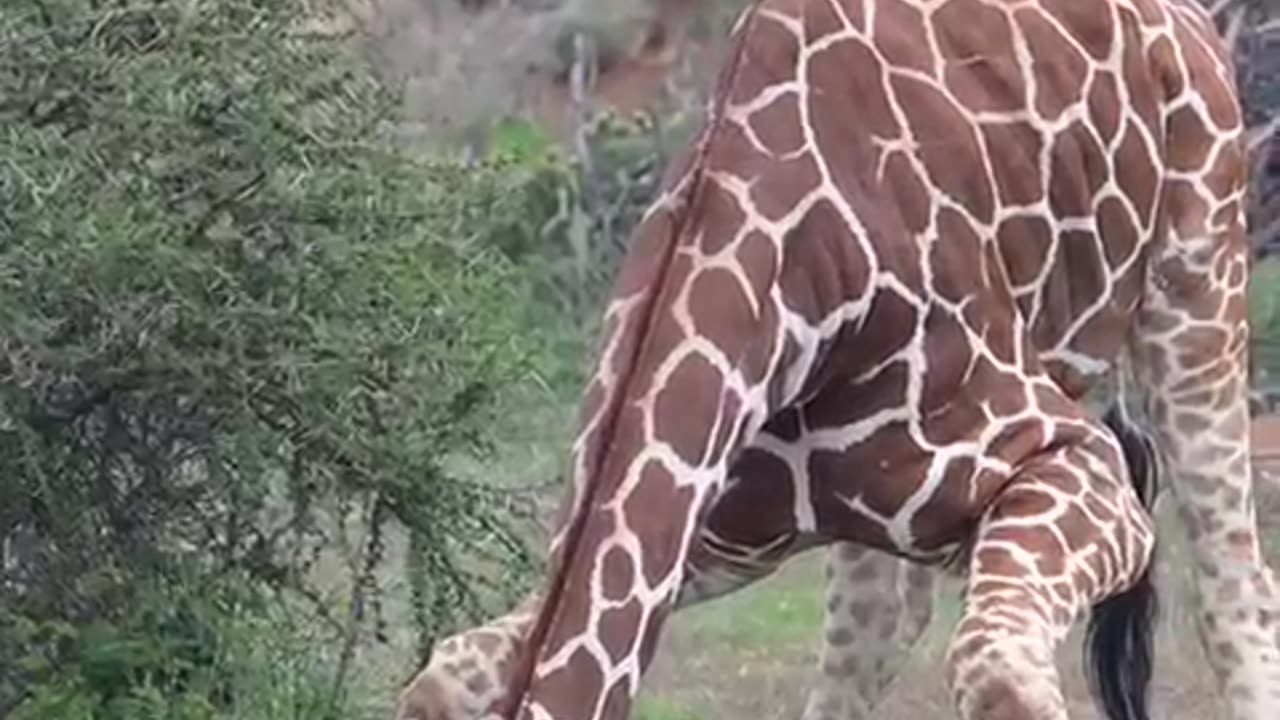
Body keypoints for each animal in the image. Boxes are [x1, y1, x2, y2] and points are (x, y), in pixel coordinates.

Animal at [391, 0, 1280, 712]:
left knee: (1236, 596)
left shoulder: (1076, 458)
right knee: (878, 630)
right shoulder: (717, 538)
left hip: (1197, 284)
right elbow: (445, 669)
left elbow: (1000, 673)